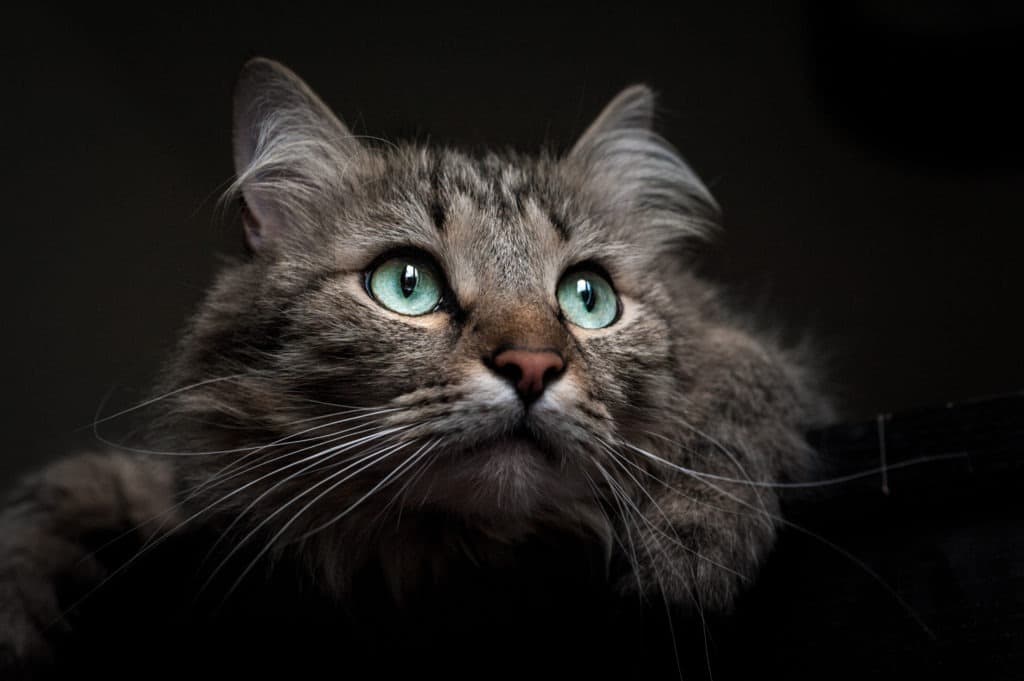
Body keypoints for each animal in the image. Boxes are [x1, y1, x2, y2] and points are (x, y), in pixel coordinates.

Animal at [0, 59, 831, 679]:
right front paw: (18, 605)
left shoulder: (763, 362)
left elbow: (742, 385)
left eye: (588, 297)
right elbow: (68, 491)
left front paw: (692, 543)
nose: (532, 365)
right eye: (407, 285)